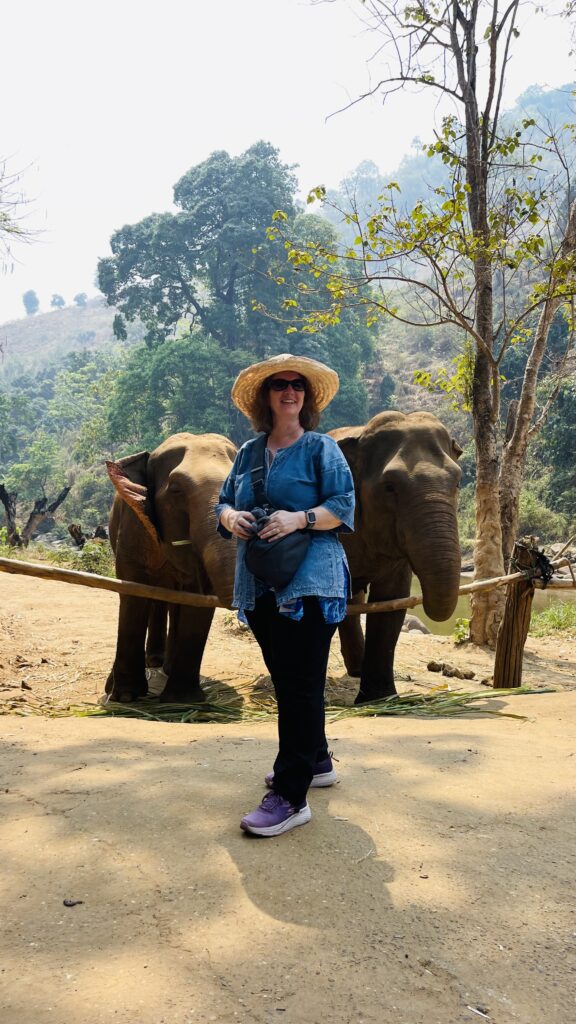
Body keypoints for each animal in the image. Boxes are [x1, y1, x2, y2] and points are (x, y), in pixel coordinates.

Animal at [105, 432, 235, 704]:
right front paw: (125, 696)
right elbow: (133, 590)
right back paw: (152, 663)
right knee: (156, 598)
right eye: (176, 490)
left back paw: (165, 667)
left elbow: (197, 598)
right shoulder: (134, 525)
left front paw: (182, 699)